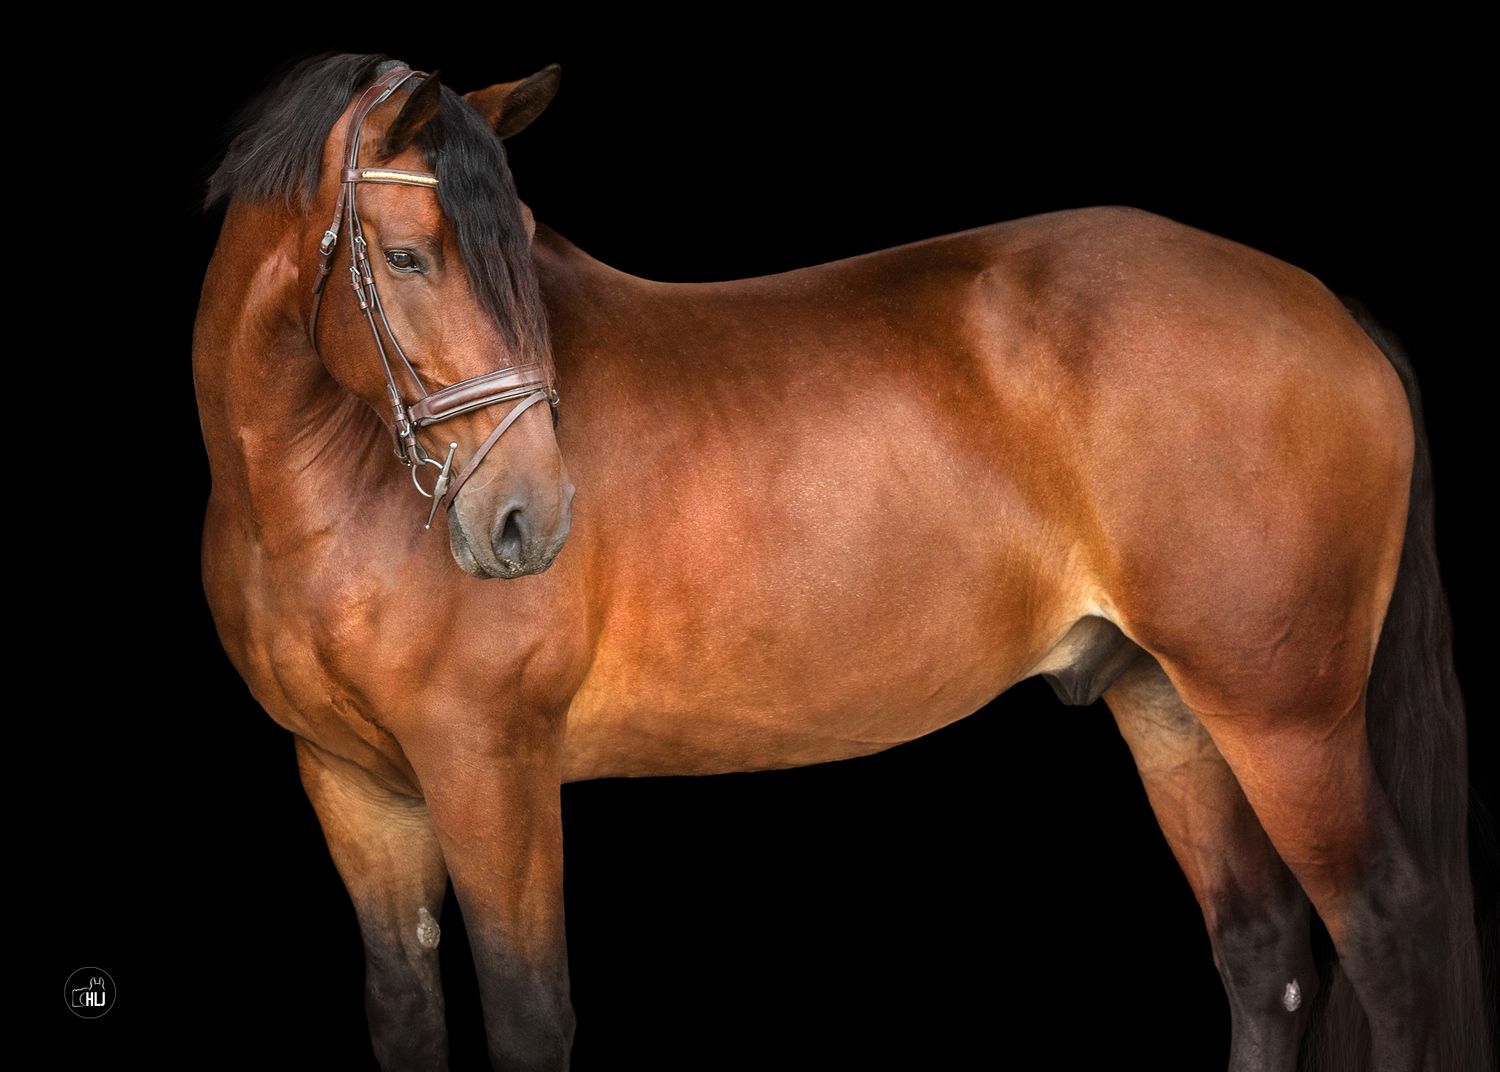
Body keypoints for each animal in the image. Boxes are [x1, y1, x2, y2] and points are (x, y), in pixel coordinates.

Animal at [193, 52, 1489, 1071]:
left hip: (1285, 714)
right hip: (1170, 702)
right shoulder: (354, 787)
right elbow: (407, 1015)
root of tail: (1324, 305)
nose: (528, 520)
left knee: (1386, 935)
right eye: (410, 257)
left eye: (516, 248)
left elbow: (527, 1018)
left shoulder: (490, 770)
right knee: (1263, 950)